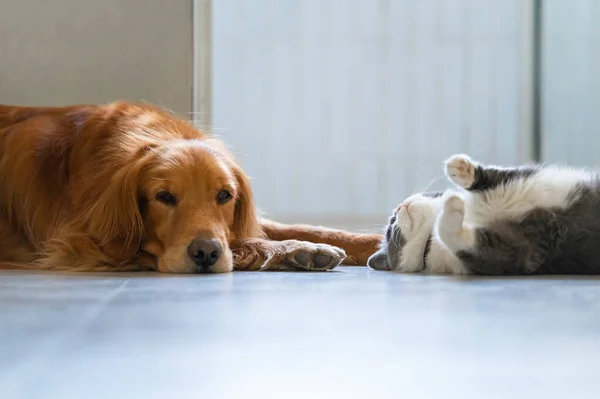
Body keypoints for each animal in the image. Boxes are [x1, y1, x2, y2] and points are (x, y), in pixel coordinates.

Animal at [0, 101, 380, 274]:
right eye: (164, 197)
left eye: (224, 195)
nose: (205, 253)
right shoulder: (81, 246)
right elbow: (246, 242)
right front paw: (295, 250)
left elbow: (302, 227)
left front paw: (370, 241)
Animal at [366, 153, 600, 276]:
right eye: (390, 229)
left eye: (392, 221)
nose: (398, 207)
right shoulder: (517, 251)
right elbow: (454, 235)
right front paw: (452, 207)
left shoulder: (522, 178)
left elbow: (497, 175)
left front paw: (460, 169)